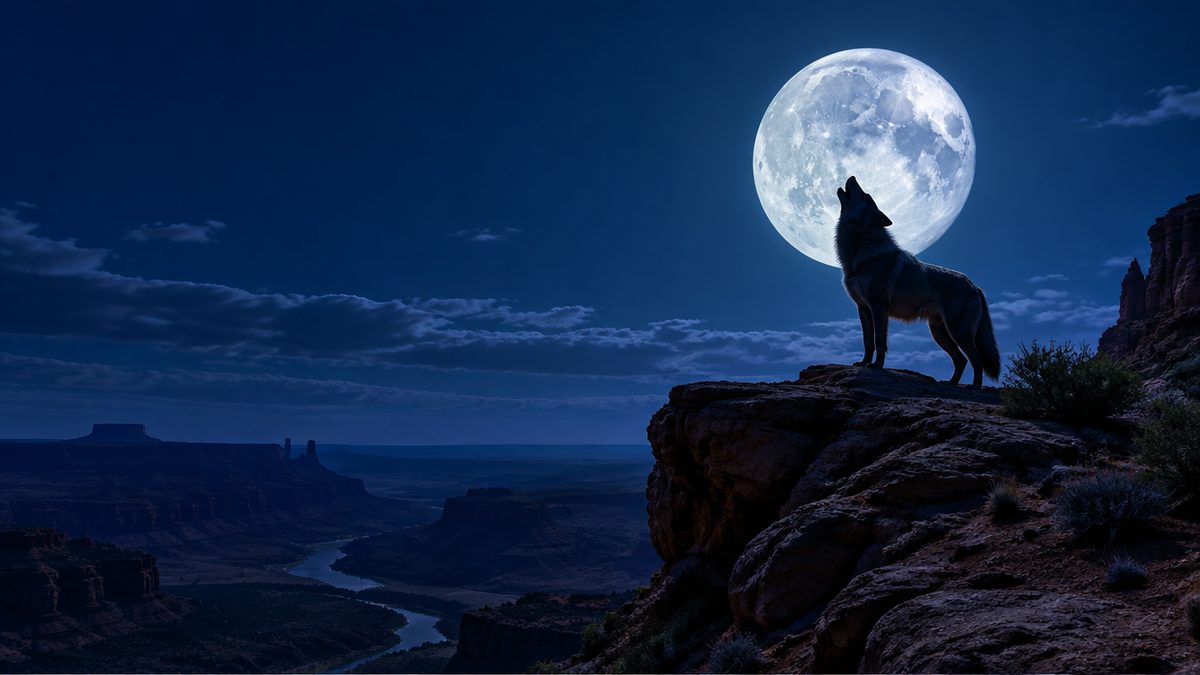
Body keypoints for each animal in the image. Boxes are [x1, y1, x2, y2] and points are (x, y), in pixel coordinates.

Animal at [835, 176, 1000, 387]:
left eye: (865, 195)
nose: (853, 177)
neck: (861, 247)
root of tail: (975, 286)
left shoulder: (878, 307)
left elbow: (879, 341)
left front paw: (877, 366)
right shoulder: (863, 309)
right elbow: (868, 342)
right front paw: (863, 363)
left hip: (957, 332)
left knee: (976, 360)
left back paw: (974, 387)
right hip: (940, 333)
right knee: (961, 360)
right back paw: (951, 383)